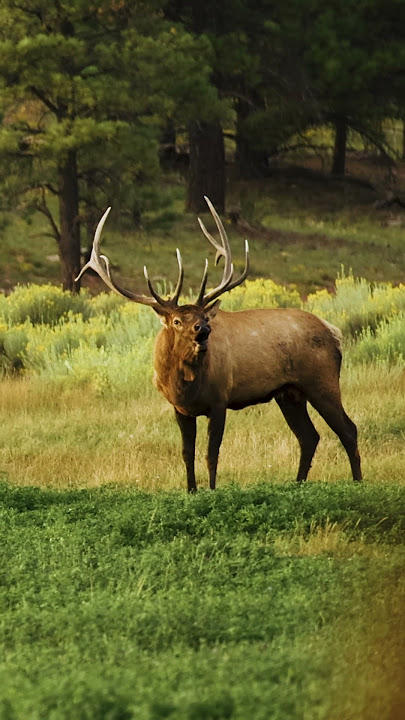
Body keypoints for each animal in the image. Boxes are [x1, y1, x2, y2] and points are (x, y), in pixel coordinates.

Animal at [76, 198, 362, 492]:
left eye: (203, 317)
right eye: (177, 320)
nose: (203, 330)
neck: (185, 385)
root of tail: (334, 332)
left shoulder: (219, 399)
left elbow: (211, 454)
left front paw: (212, 490)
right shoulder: (179, 408)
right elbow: (187, 453)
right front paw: (190, 490)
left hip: (321, 380)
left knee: (347, 429)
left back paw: (357, 482)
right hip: (289, 393)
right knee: (309, 436)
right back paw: (298, 484)